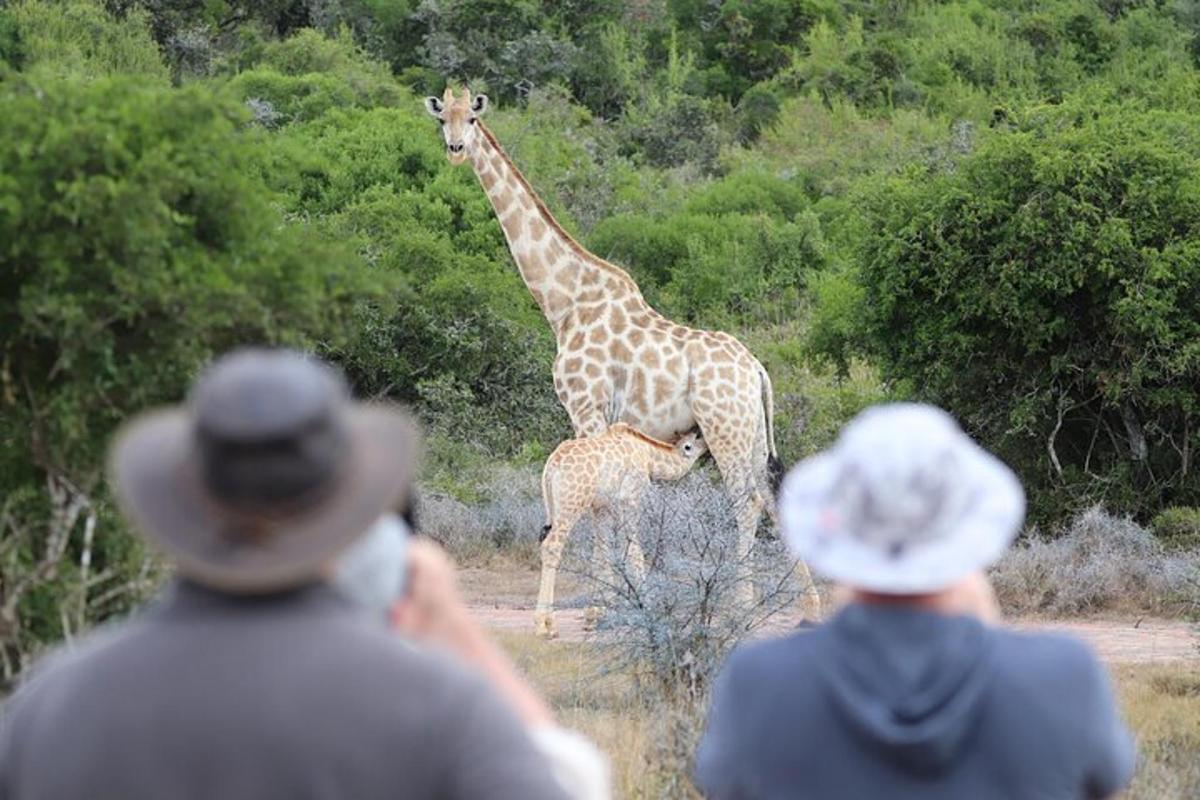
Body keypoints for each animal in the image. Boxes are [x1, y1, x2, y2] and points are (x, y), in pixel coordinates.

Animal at [427, 87, 820, 618]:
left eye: (471, 117)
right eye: (440, 118)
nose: (455, 150)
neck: (563, 303)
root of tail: (757, 369)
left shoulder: (586, 407)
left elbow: (598, 504)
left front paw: (601, 607)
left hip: (725, 430)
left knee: (746, 502)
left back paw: (743, 602)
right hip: (752, 432)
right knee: (770, 496)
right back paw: (805, 602)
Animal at [532, 422, 700, 642]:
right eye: (689, 445)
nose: (704, 442)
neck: (648, 457)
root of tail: (551, 467)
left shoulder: (601, 507)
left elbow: (601, 553)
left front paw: (597, 614)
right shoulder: (629, 500)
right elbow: (633, 553)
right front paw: (646, 606)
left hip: (554, 508)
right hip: (571, 505)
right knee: (552, 546)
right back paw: (545, 626)